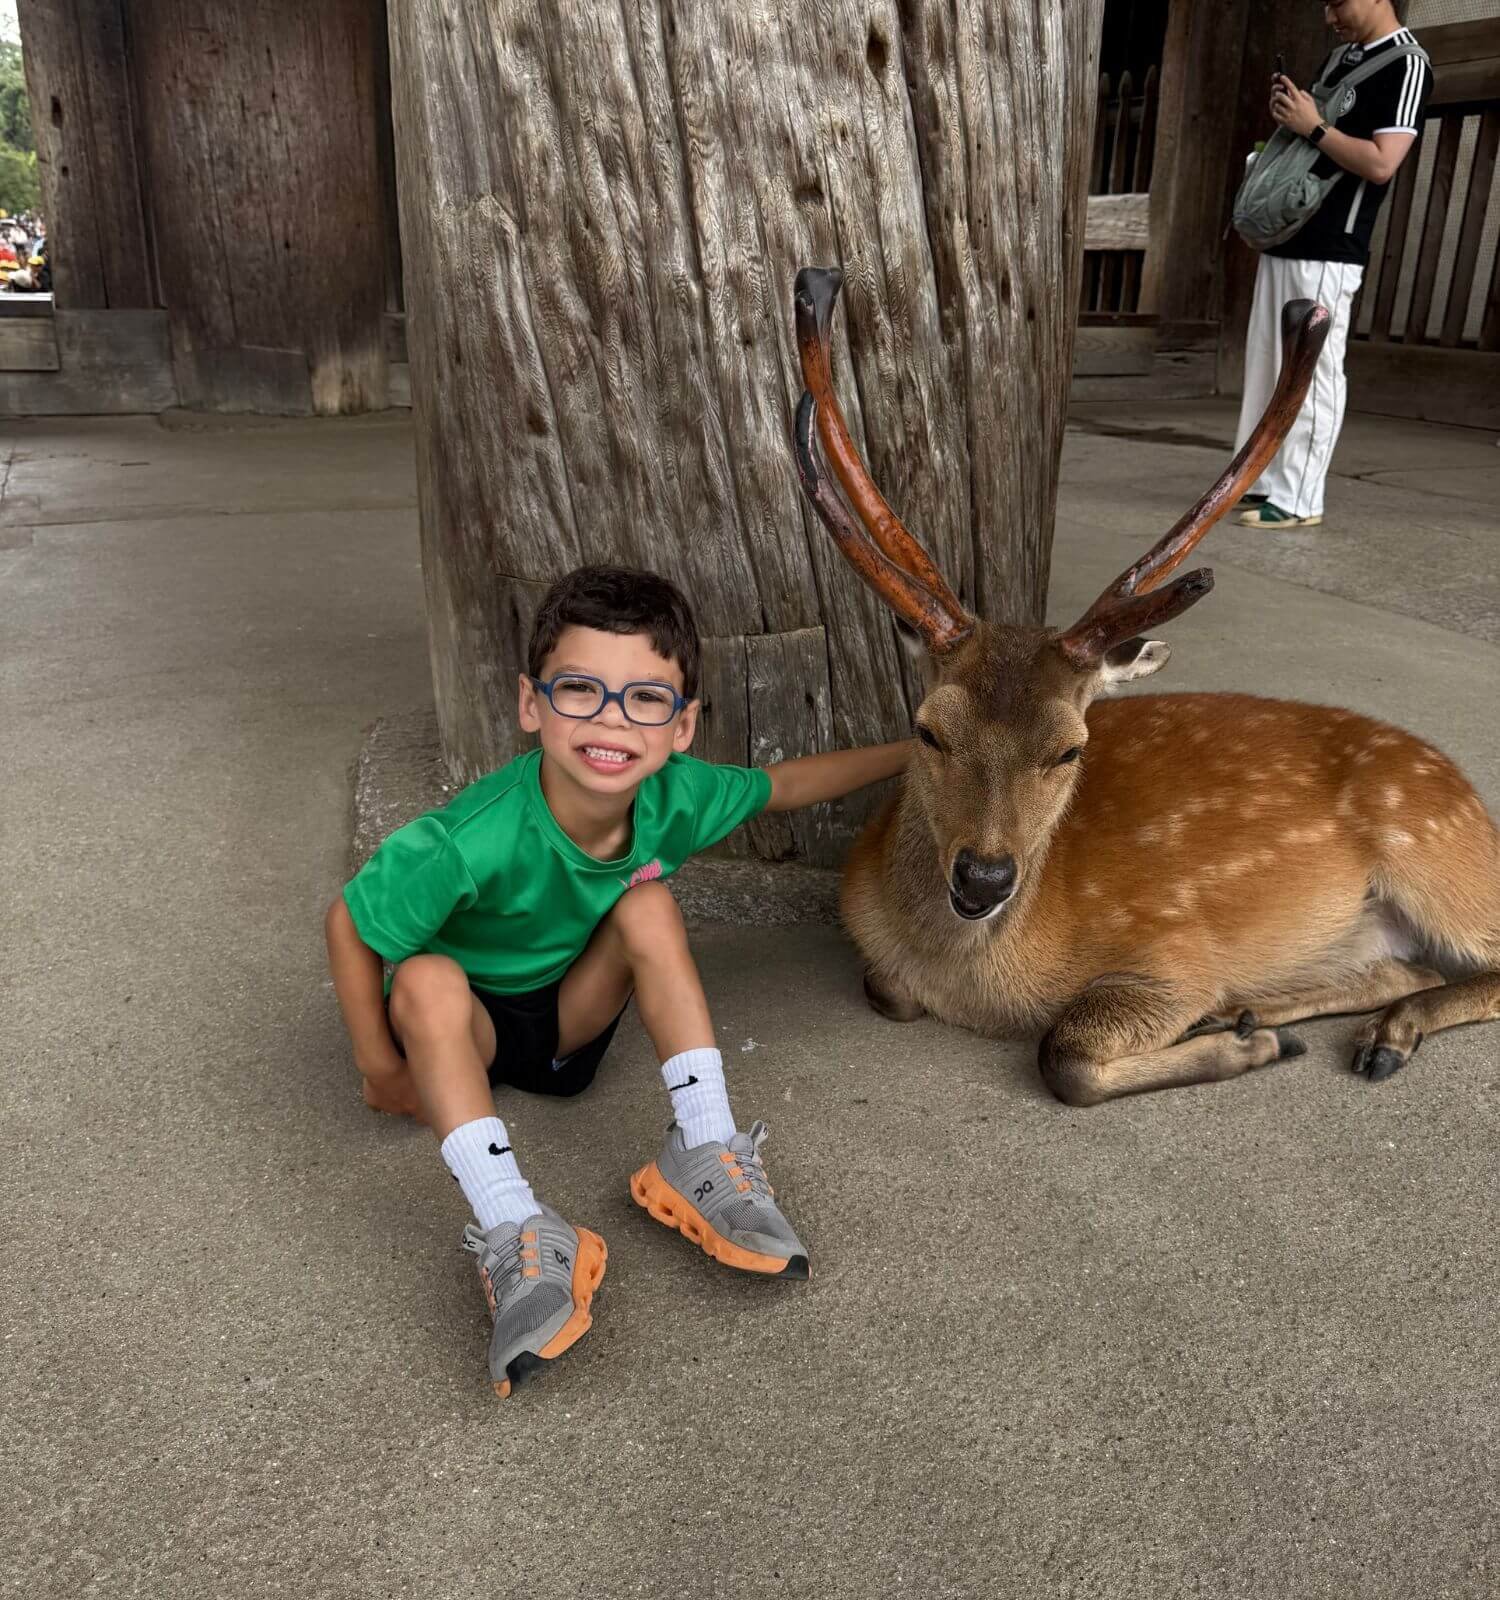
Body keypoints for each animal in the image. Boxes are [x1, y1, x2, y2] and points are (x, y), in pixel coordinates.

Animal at [789, 266, 1500, 1106]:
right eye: (927, 729)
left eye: (1071, 749)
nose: (985, 876)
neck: (974, 981)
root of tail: (1473, 801)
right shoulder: (886, 963)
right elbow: (885, 988)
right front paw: (1248, 1033)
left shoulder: (1177, 949)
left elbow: (1065, 1053)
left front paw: (1241, 1048)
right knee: (1406, 967)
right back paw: (1285, 1014)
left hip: (1439, 858)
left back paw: (1341, 1030)